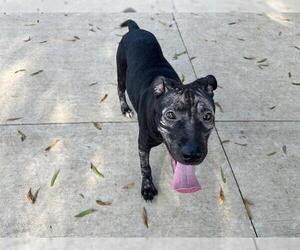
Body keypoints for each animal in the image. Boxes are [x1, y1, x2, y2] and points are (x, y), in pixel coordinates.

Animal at [116, 20, 217, 202]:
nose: (192, 155)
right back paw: (125, 108)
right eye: (170, 115)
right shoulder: (142, 144)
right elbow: (145, 166)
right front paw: (148, 187)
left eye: (207, 116)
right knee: (120, 90)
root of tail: (136, 29)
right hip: (121, 71)